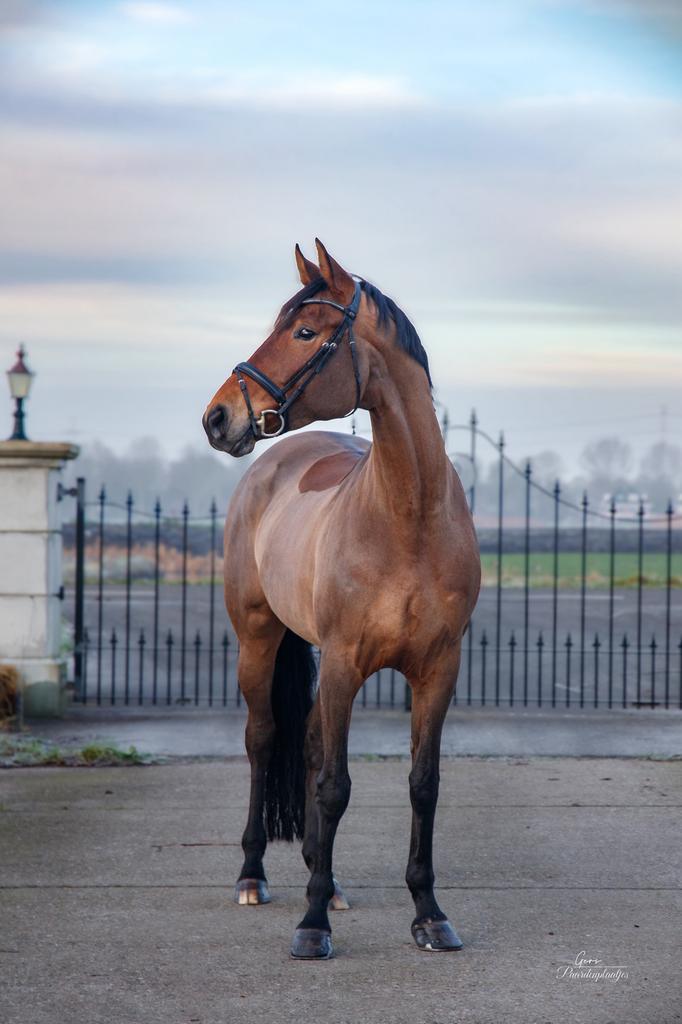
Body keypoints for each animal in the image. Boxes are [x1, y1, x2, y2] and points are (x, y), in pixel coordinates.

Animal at [203, 240, 480, 959]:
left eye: (304, 332)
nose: (219, 416)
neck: (408, 517)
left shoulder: (438, 671)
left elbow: (422, 785)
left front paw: (429, 914)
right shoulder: (345, 665)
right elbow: (333, 786)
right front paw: (311, 926)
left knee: (301, 740)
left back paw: (321, 878)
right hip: (258, 641)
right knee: (263, 738)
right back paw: (254, 875)